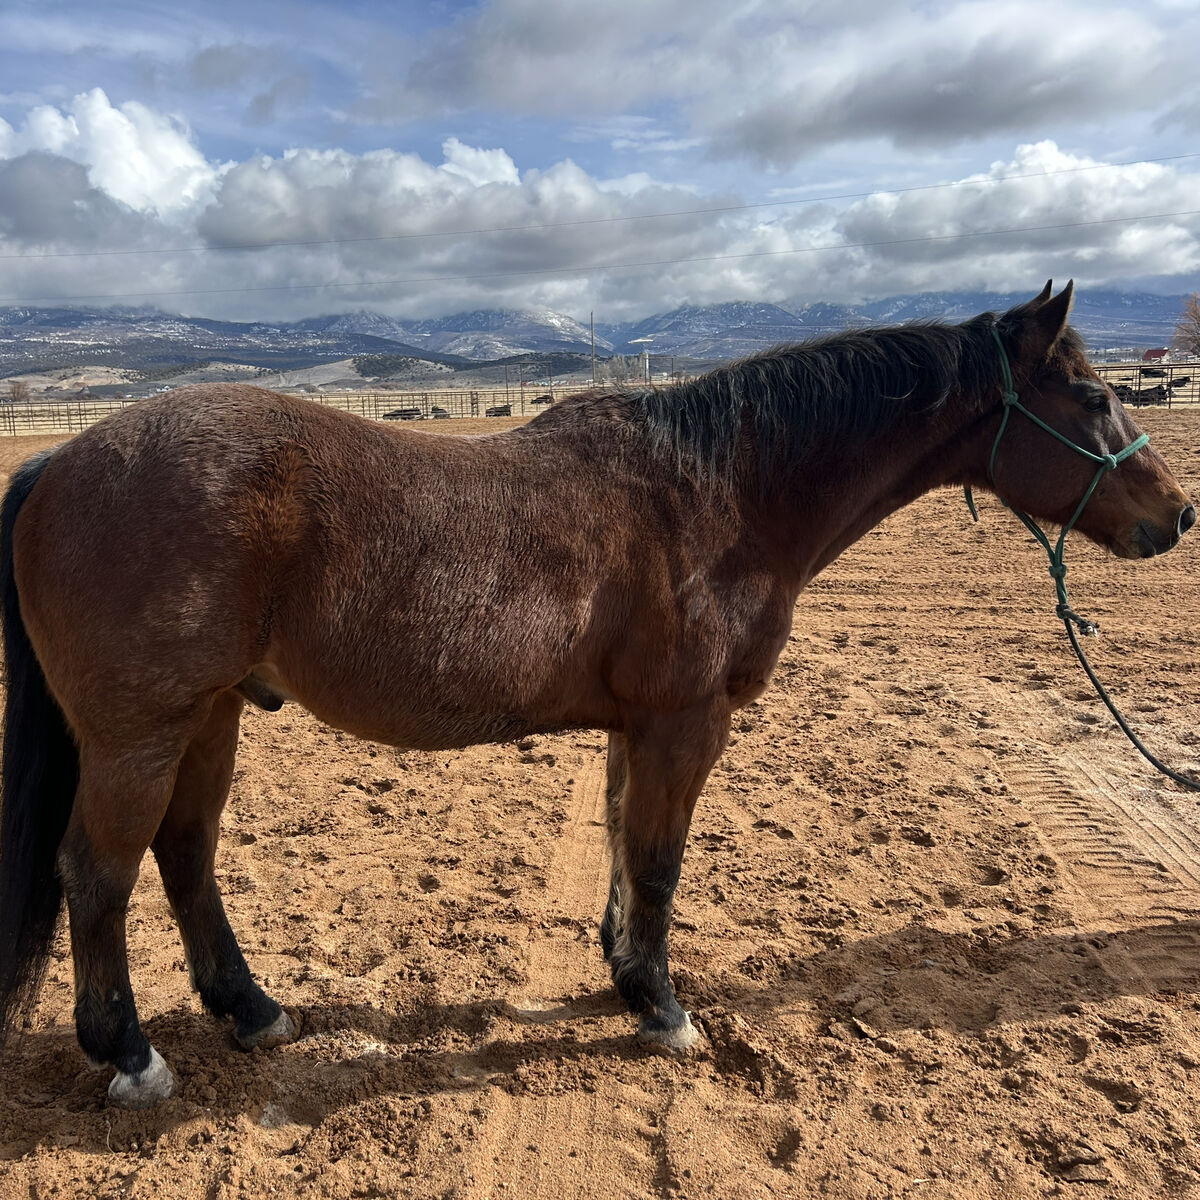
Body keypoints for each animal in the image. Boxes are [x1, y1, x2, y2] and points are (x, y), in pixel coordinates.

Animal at [0, 281, 1193, 1108]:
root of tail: (59, 462)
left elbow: (625, 850)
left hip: (212, 714)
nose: (1175, 517)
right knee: (98, 875)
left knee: (185, 855)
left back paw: (252, 1013)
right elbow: (659, 863)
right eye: (1091, 395)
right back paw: (132, 1056)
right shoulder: (684, 724)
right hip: (140, 733)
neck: (722, 490)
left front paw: (624, 975)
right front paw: (662, 1009)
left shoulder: (636, 728)